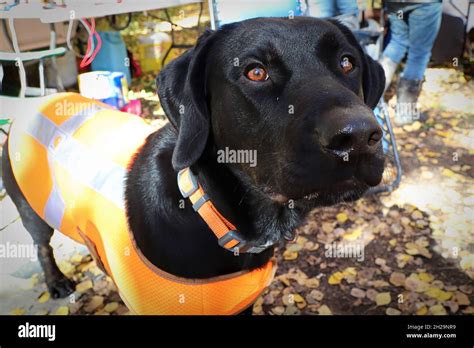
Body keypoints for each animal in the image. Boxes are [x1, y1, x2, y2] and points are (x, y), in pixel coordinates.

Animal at [0, 17, 386, 312]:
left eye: (348, 62)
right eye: (255, 72)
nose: (358, 135)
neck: (214, 216)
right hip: (30, 209)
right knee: (41, 246)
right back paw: (57, 282)